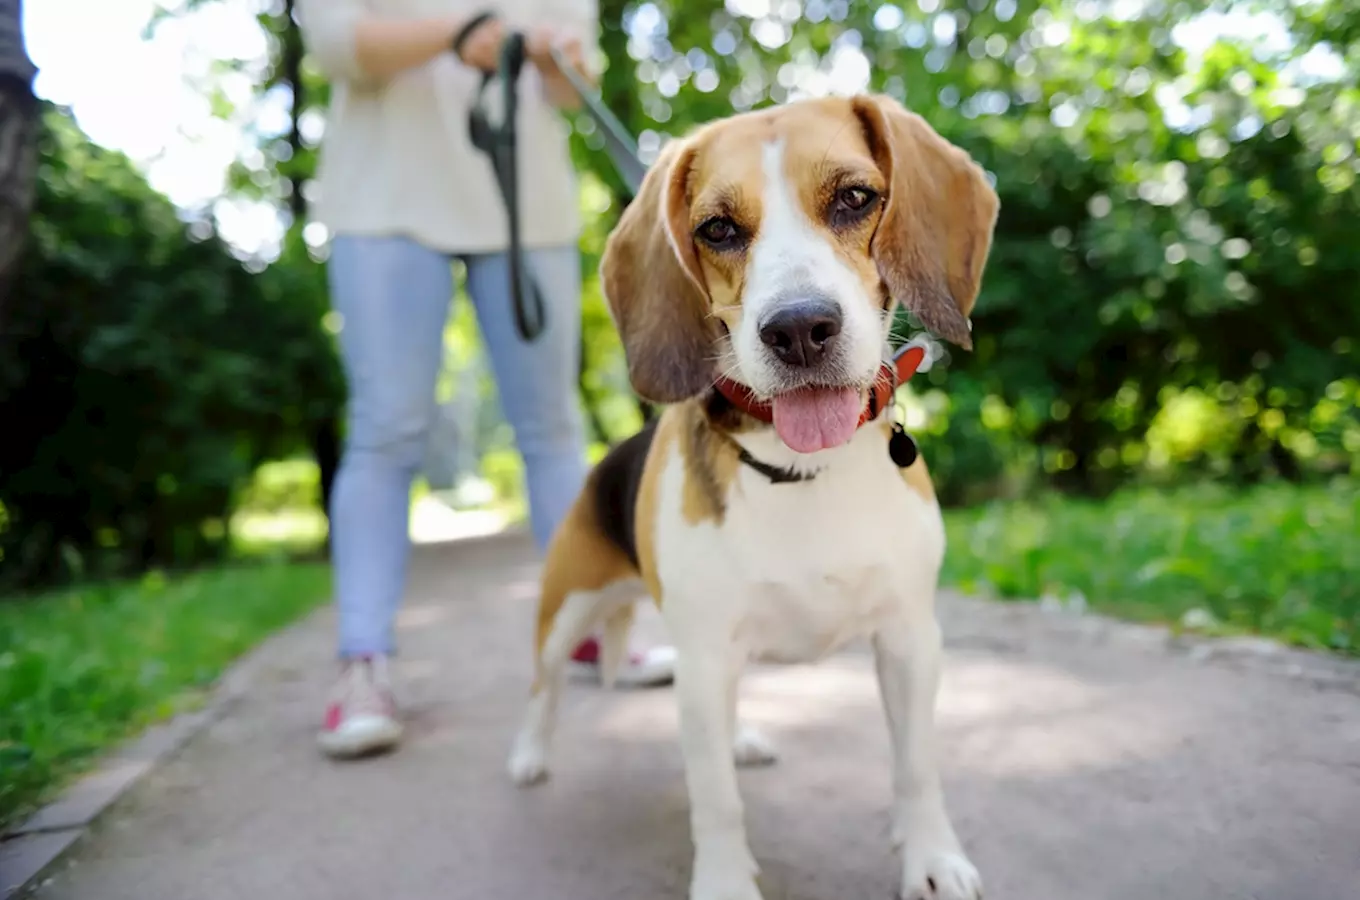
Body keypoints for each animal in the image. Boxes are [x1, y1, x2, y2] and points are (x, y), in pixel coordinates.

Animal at [508, 93, 1000, 900]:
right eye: (718, 229)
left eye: (855, 198)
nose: (799, 328)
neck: (803, 470)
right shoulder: (705, 656)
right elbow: (715, 802)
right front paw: (725, 880)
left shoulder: (908, 640)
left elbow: (917, 767)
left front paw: (931, 856)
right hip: (566, 613)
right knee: (542, 690)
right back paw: (529, 754)